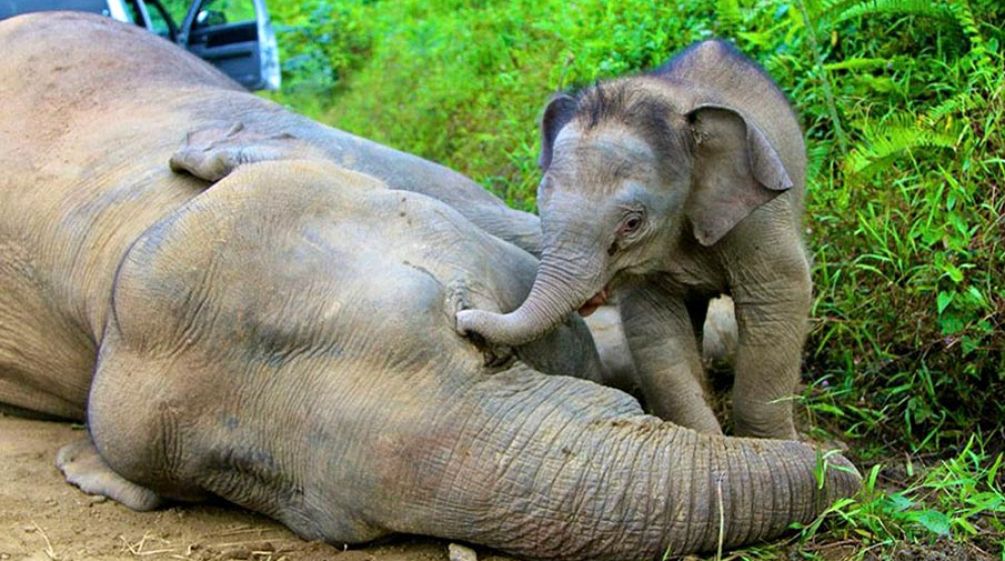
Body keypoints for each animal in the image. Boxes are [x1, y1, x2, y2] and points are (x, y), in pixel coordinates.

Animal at [460, 41, 812, 442]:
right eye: (540, 204)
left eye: (632, 223)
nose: (463, 321)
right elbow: (654, 329)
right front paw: (707, 440)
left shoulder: (759, 216)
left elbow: (779, 297)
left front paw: (776, 445)